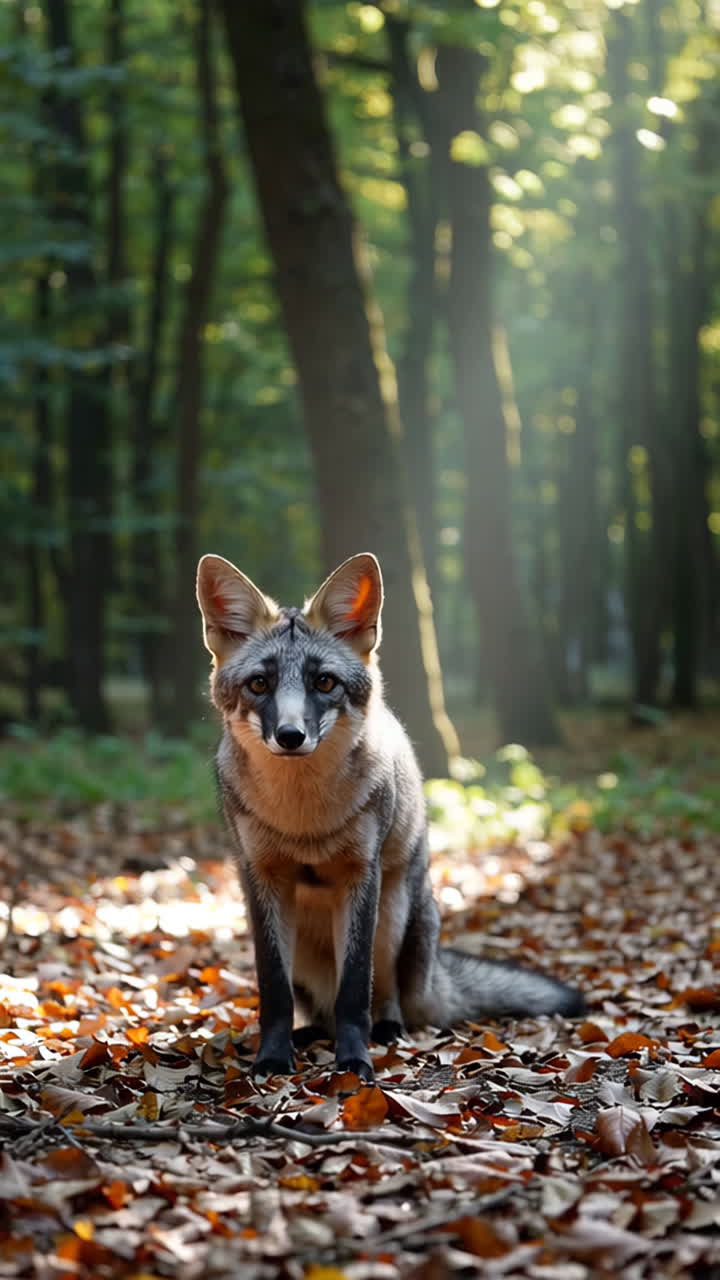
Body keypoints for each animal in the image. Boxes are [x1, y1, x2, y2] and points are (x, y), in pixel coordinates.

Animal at [196, 551, 584, 1080]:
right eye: (260, 683)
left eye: (324, 682)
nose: (291, 736)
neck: (304, 822)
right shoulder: (262, 879)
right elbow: (273, 993)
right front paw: (272, 1058)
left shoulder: (362, 874)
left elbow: (354, 992)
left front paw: (354, 1062)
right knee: (318, 1009)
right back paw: (309, 1034)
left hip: (393, 917)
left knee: (383, 996)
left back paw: (387, 1031)